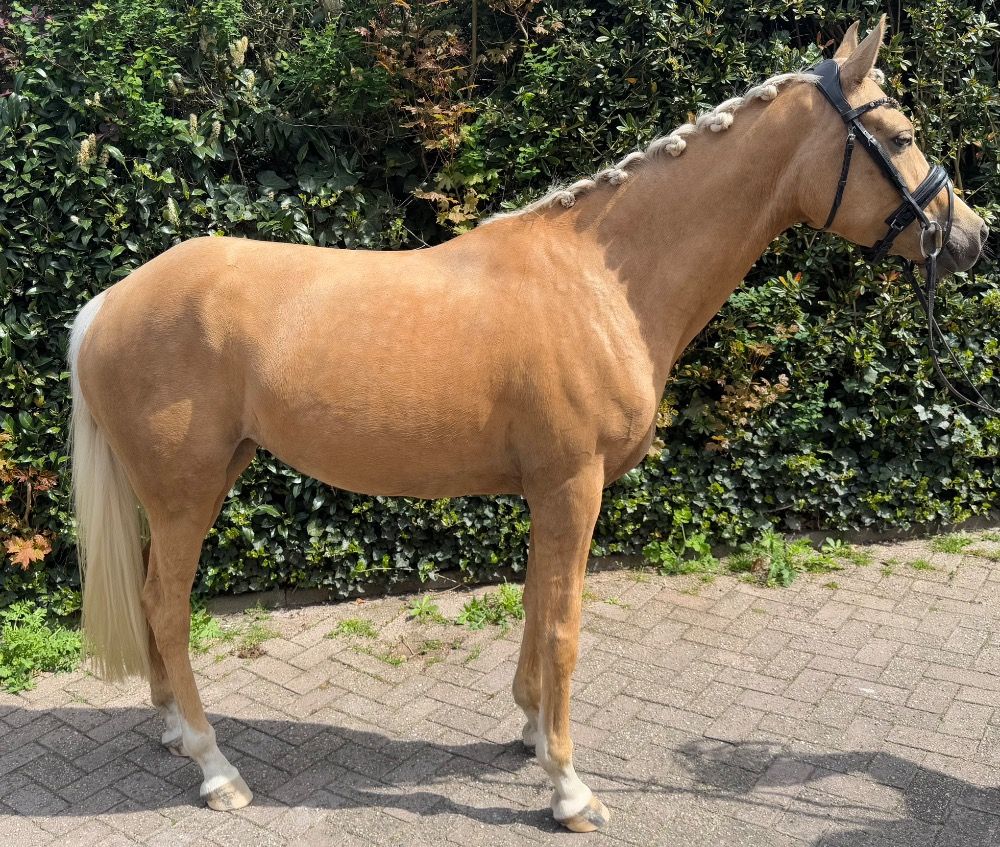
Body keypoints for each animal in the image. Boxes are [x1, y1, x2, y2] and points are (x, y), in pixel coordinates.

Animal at [68, 17, 987, 832]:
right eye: (899, 133)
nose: (970, 236)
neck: (602, 279)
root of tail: (108, 301)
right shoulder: (574, 485)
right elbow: (563, 625)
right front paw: (570, 789)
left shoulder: (549, 489)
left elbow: (535, 601)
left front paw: (531, 732)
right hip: (186, 491)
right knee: (168, 607)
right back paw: (215, 767)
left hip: (193, 483)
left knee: (152, 599)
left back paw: (174, 730)